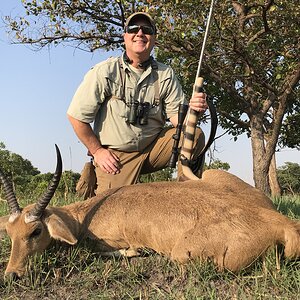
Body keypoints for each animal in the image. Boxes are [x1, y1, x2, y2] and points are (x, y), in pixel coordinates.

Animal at [0, 145, 298, 278]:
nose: (12, 273)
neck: (85, 215)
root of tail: (282, 223)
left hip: (182, 254)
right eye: (10, 232)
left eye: (35, 230)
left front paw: (135, 252)